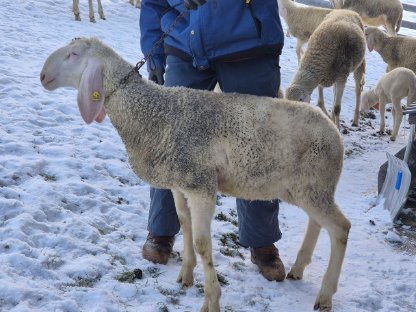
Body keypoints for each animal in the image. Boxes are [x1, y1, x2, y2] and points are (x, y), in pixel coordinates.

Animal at [39, 37, 352, 312]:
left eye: (74, 55)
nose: (42, 76)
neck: (154, 115)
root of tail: (333, 131)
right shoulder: (180, 183)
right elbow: (183, 223)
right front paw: (186, 275)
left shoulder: (200, 185)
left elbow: (203, 244)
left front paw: (211, 300)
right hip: (307, 188)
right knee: (317, 222)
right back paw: (298, 268)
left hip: (314, 184)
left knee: (340, 228)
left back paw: (325, 295)